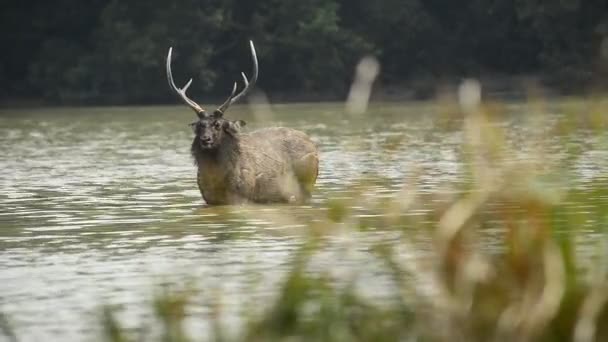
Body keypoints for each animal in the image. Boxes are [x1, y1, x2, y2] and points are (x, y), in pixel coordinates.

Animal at [166, 41, 318, 204]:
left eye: (218, 125)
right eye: (199, 126)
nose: (205, 139)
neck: (217, 181)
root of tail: (313, 144)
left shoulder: (242, 196)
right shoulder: (208, 199)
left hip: (305, 186)